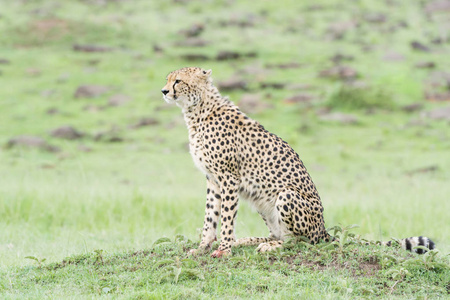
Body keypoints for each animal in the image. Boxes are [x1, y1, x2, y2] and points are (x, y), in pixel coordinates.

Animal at [161, 67, 436, 258]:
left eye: (178, 81)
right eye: (168, 79)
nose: (164, 91)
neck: (197, 111)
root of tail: (323, 229)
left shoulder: (229, 177)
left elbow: (227, 218)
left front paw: (225, 248)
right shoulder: (213, 179)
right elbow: (210, 216)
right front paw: (203, 247)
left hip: (285, 194)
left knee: (297, 241)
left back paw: (266, 246)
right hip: (263, 201)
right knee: (278, 234)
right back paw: (251, 241)